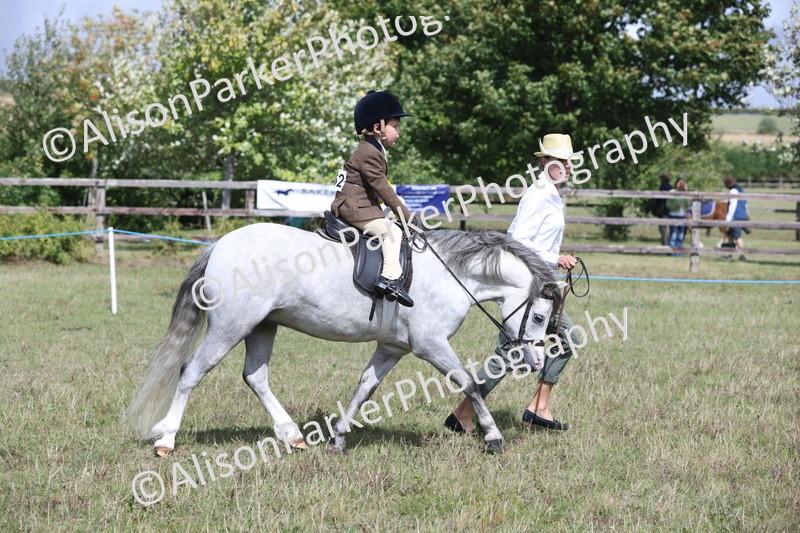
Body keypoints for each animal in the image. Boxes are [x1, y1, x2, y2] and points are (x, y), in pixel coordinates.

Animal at [124, 223, 565, 455]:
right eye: (539, 317)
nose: (533, 363)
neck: (450, 274)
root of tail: (221, 244)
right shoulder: (430, 345)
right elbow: (470, 383)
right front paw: (493, 437)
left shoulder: (392, 347)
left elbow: (365, 387)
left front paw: (337, 437)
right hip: (230, 327)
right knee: (191, 372)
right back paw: (166, 439)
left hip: (262, 326)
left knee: (255, 377)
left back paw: (292, 435)